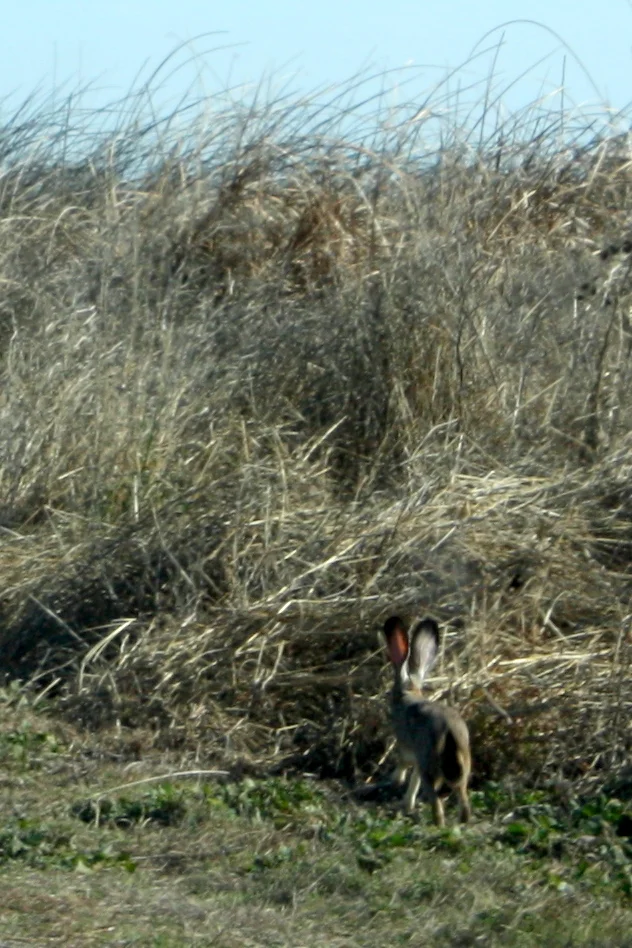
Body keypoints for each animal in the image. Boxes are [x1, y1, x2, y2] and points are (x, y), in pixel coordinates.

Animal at [383, 615, 471, 826]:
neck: (409, 693)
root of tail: (449, 732)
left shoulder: (405, 746)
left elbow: (404, 764)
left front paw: (396, 780)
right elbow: (414, 779)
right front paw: (407, 803)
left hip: (429, 765)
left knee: (436, 801)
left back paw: (438, 824)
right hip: (462, 765)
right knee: (462, 796)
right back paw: (462, 821)